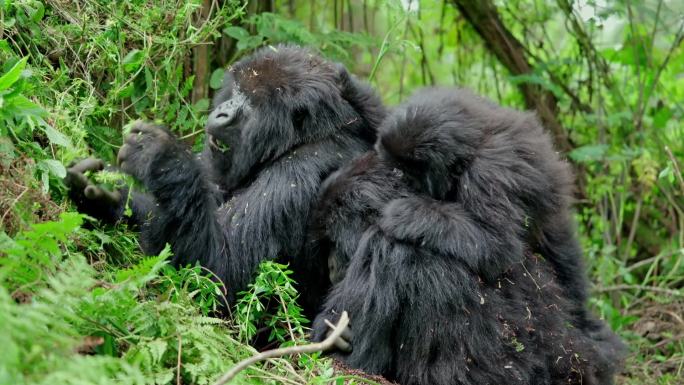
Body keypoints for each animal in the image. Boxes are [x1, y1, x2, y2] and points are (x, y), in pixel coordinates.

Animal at [67, 45, 388, 308]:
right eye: (237, 91)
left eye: (252, 103)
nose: (222, 113)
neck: (308, 135)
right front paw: (111, 195)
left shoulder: (303, 169)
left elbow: (218, 272)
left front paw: (160, 158)